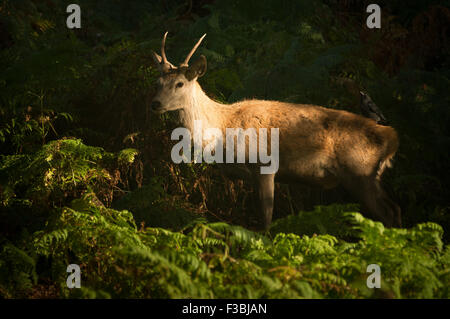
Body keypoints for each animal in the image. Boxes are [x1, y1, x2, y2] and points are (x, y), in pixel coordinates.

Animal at [149, 32, 402, 231]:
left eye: (180, 83)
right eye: (157, 82)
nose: (155, 103)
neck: (223, 127)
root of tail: (392, 138)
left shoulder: (265, 165)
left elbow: (266, 218)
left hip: (360, 171)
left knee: (387, 212)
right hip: (370, 176)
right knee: (395, 208)